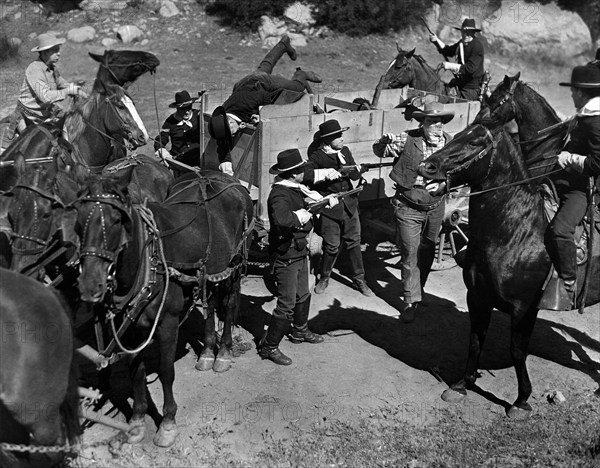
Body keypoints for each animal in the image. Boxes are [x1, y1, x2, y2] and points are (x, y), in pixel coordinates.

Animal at [74, 168, 253, 446]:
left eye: (117, 220)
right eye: (78, 220)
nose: (90, 285)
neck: (149, 261)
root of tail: (224, 178)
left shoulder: (168, 323)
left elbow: (167, 371)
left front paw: (168, 422)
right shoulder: (131, 328)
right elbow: (136, 371)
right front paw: (137, 420)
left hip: (234, 264)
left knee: (230, 303)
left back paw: (222, 352)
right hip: (210, 271)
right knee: (211, 304)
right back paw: (207, 351)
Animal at [418, 123, 600, 416]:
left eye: (474, 143)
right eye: (458, 134)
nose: (427, 166)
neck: (514, 232)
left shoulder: (524, 307)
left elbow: (517, 351)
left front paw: (521, 400)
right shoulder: (477, 297)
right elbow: (475, 339)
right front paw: (462, 385)